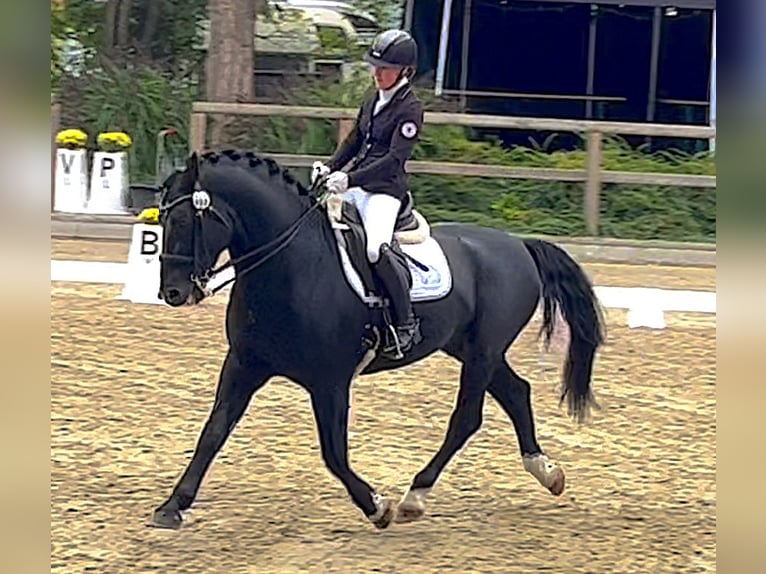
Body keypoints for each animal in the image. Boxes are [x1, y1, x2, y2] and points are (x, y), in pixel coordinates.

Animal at [151, 149, 605, 530]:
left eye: (186, 221)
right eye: (161, 221)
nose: (172, 293)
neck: (291, 265)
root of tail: (519, 245)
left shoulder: (330, 381)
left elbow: (333, 453)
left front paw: (376, 506)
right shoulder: (245, 364)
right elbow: (213, 431)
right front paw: (172, 506)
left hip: (483, 351)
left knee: (467, 418)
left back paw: (413, 497)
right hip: (469, 347)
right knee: (516, 392)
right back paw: (547, 472)